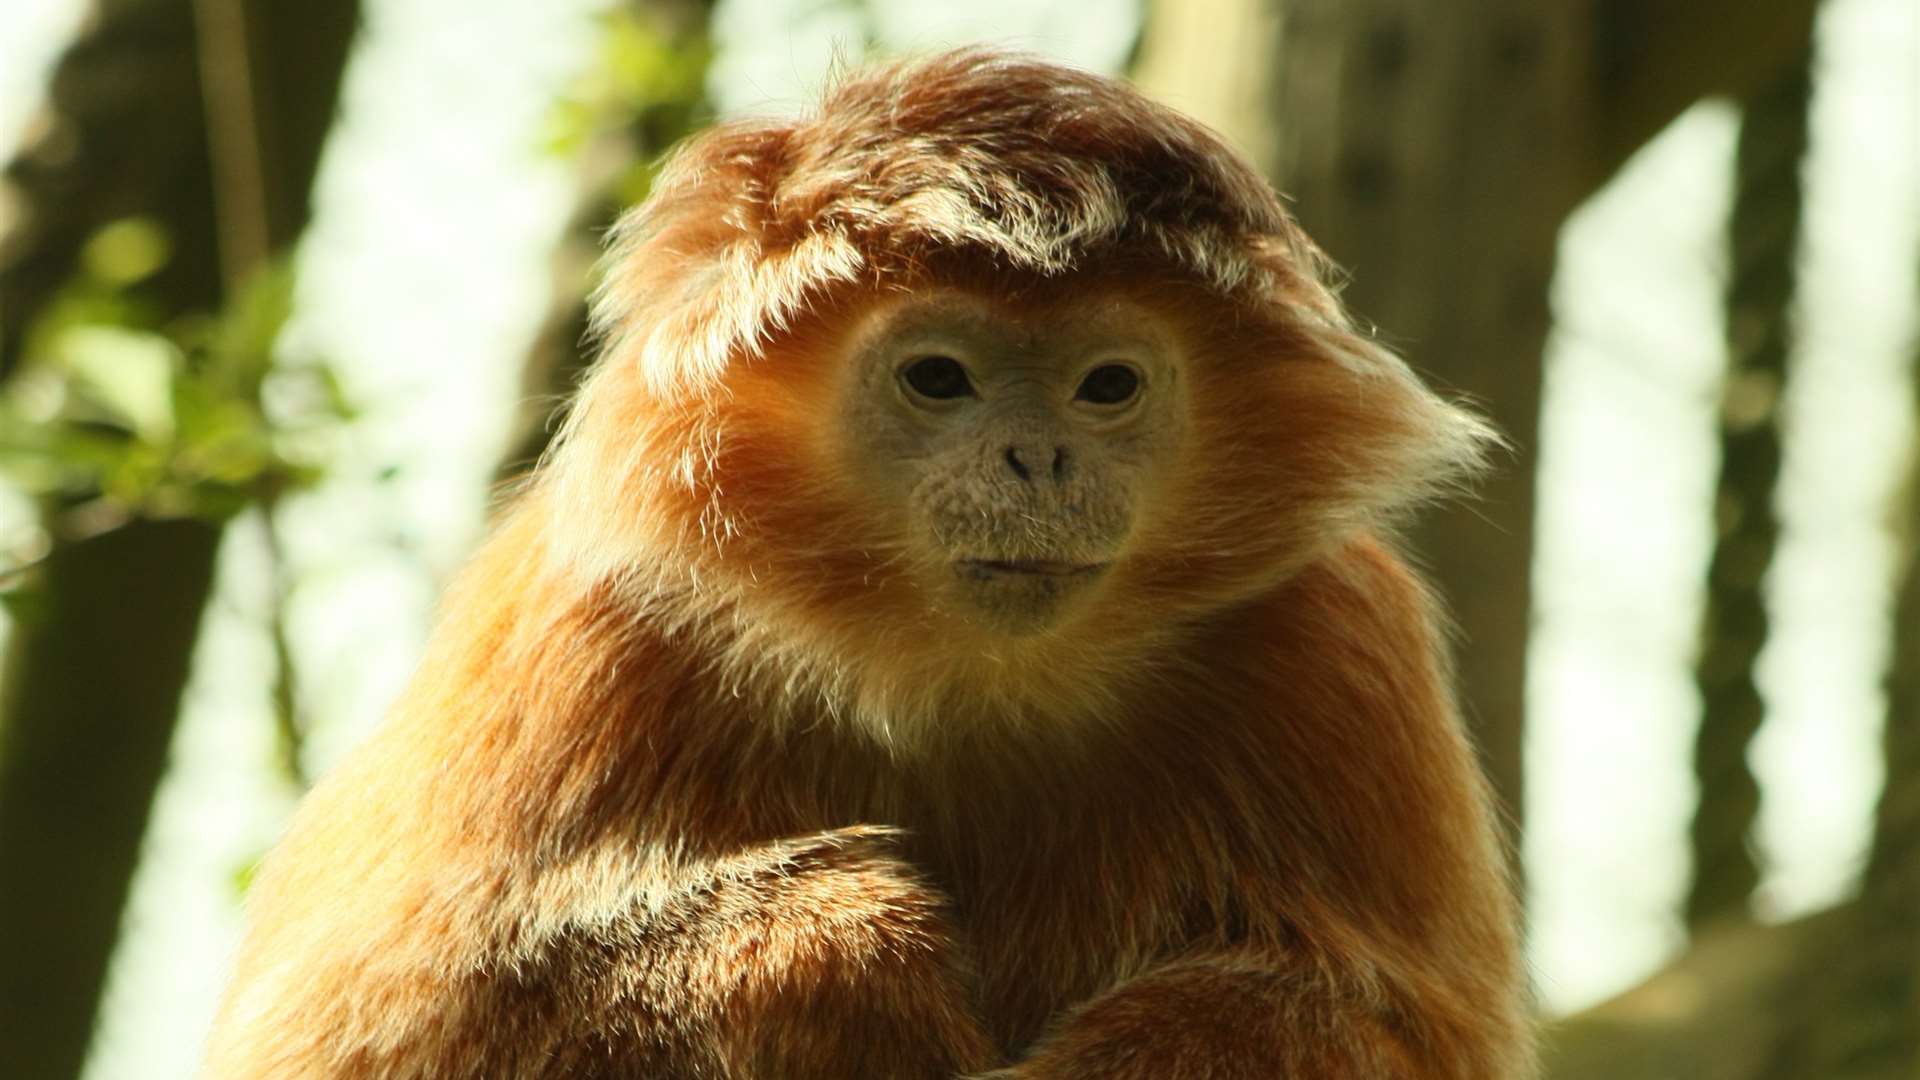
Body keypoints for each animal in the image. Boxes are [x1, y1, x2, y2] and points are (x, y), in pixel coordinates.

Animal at [202, 50, 1536, 1076]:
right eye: (938, 378)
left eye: (1107, 387)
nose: (1037, 459)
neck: (959, 679)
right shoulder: (589, 615)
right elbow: (383, 1021)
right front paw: (847, 955)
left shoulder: (1341, 639)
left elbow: (1394, 1029)